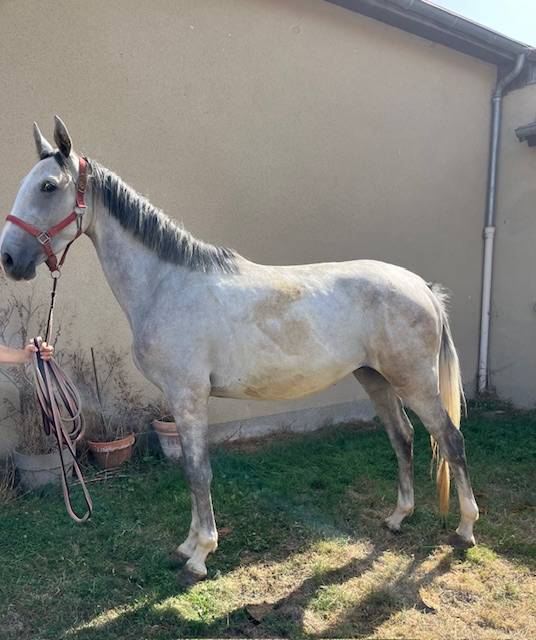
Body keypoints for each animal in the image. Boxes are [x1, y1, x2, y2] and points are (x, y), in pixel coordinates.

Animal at [1, 117, 479, 583]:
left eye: (48, 186)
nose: (8, 259)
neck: (165, 284)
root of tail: (422, 286)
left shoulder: (189, 397)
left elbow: (198, 472)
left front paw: (200, 555)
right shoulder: (180, 400)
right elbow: (192, 472)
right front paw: (188, 546)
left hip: (414, 381)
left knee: (450, 439)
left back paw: (465, 529)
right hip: (375, 378)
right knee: (403, 437)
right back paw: (398, 518)